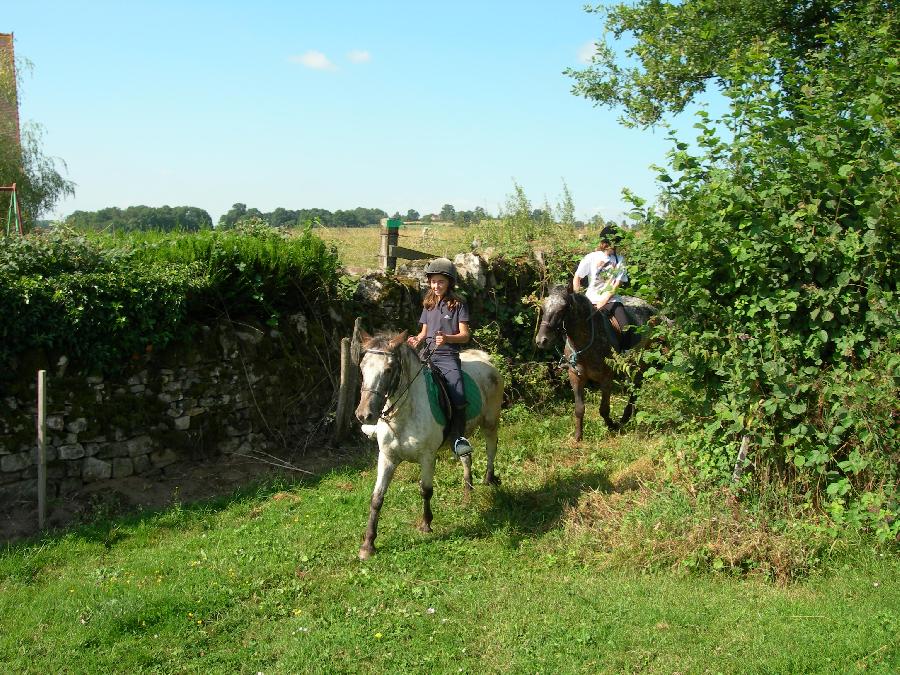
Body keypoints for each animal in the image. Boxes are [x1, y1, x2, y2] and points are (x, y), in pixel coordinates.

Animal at [354, 332, 506, 560]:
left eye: (388, 369)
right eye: (362, 366)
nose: (365, 415)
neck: (404, 415)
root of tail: (486, 359)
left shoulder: (427, 457)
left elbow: (425, 491)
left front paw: (426, 524)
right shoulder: (387, 457)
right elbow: (377, 498)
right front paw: (368, 545)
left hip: (490, 421)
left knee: (491, 448)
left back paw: (488, 479)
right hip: (459, 436)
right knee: (466, 457)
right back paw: (467, 496)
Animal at [536, 284, 652, 438]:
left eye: (563, 308)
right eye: (543, 307)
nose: (541, 341)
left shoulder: (606, 378)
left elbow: (604, 409)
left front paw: (612, 426)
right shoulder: (575, 377)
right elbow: (579, 409)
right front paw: (578, 436)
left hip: (637, 361)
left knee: (636, 386)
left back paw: (625, 417)